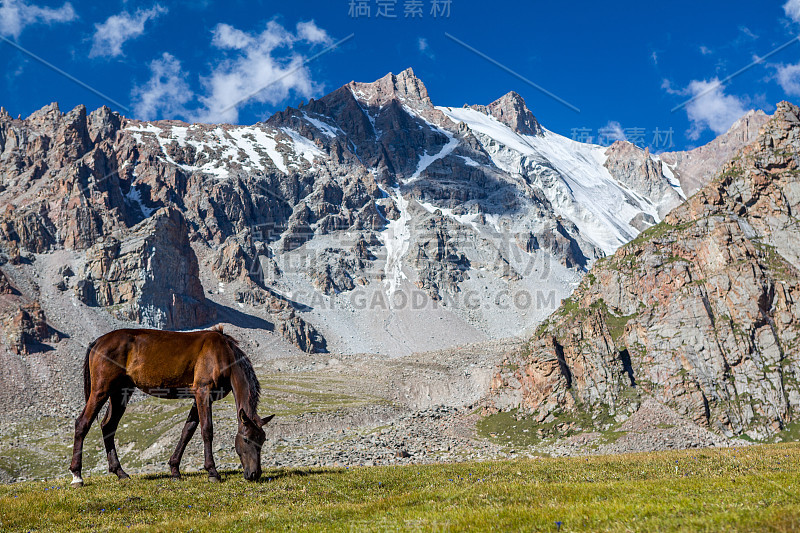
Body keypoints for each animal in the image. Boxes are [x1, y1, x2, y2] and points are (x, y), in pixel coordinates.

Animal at [69, 324, 276, 486]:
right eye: (247, 439)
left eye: (262, 440)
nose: (254, 474)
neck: (222, 354)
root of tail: (98, 342)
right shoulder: (203, 393)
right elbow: (207, 430)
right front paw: (212, 472)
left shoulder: (199, 398)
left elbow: (187, 431)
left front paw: (175, 469)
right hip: (101, 390)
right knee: (82, 424)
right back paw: (77, 476)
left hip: (120, 392)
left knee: (108, 426)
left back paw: (120, 472)